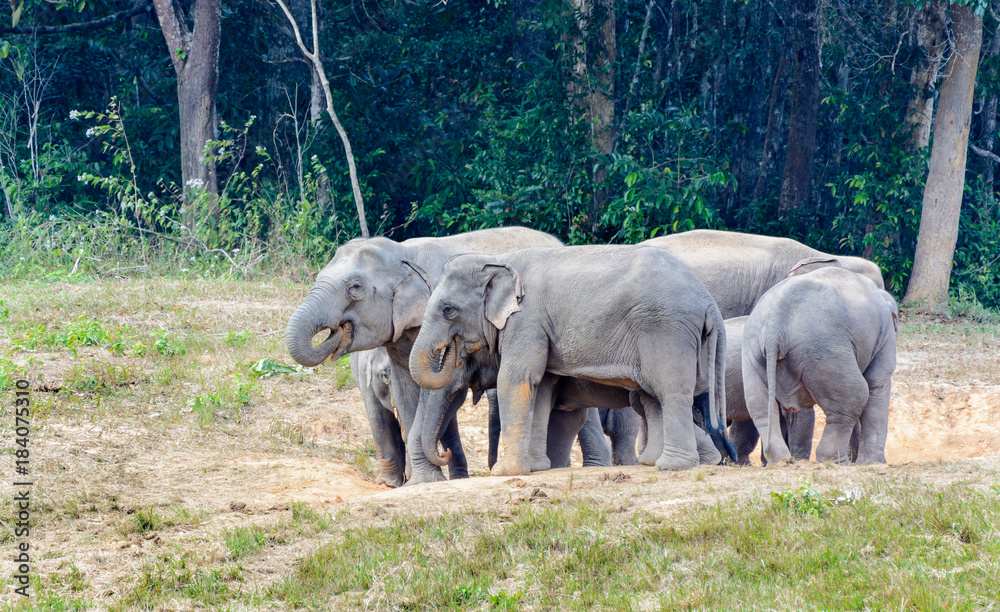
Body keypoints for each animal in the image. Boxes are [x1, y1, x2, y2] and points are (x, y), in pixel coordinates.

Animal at [286, 227, 564, 486]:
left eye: (354, 287)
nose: (336, 330)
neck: (405, 253)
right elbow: (405, 389)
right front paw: (419, 480)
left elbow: (433, 394)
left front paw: (422, 480)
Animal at [410, 245, 732, 474]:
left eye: (448, 309)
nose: (443, 453)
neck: (498, 259)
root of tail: (707, 300)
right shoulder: (540, 328)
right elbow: (542, 388)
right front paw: (537, 468)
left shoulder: (527, 320)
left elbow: (518, 378)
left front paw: (505, 472)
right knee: (651, 397)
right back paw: (655, 462)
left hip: (666, 328)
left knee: (669, 390)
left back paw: (673, 466)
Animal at [744, 266, 900, 464]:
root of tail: (774, 326)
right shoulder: (885, 335)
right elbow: (877, 382)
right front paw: (874, 463)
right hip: (823, 348)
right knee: (854, 396)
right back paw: (836, 462)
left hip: (753, 350)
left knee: (760, 408)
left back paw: (782, 460)